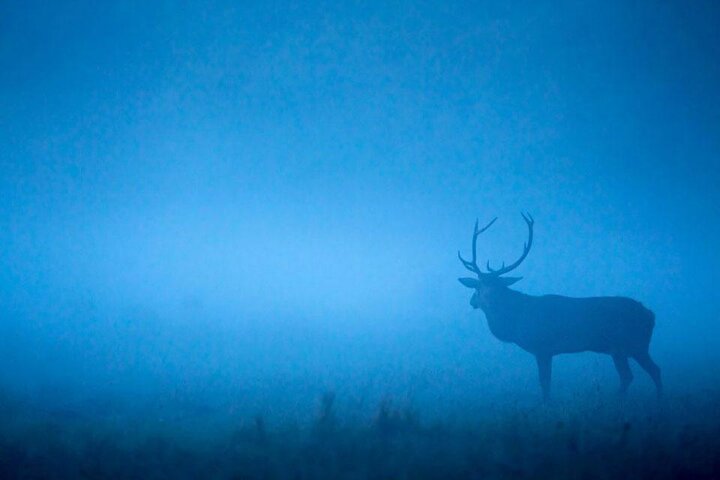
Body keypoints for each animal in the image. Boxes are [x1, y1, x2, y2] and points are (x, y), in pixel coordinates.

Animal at [458, 216, 660, 400]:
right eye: (478, 286)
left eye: (498, 286)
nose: (474, 301)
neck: (516, 323)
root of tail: (651, 315)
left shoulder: (542, 346)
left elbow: (545, 382)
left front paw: (546, 404)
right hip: (630, 347)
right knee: (646, 372)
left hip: (627, 344)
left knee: (636, 374)